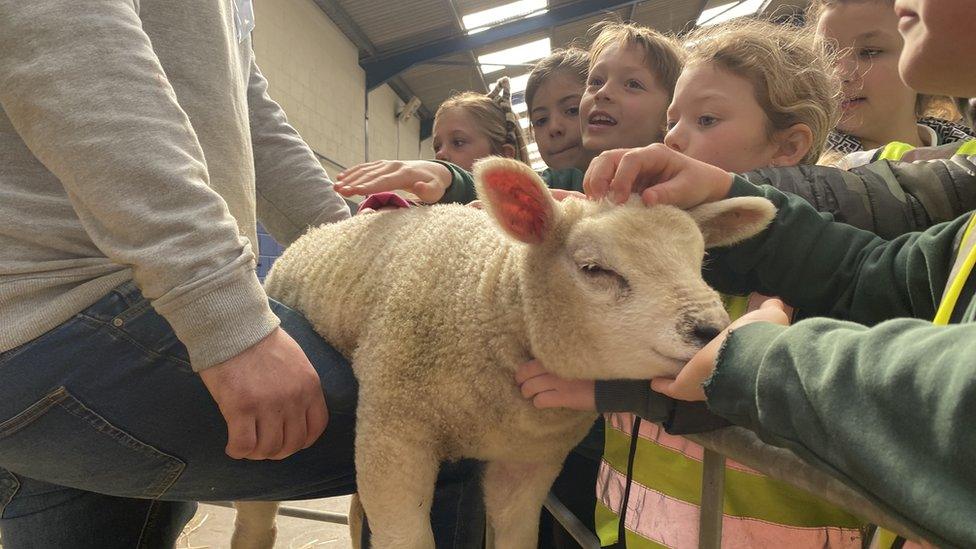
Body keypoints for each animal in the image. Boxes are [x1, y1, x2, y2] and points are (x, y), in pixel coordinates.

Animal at [240, 156, 772, 544]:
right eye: (594, 269)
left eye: (700, 262)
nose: (713, 332)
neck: (489, 295)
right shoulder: (392, 434)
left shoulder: (529, 463)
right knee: (257, 518)